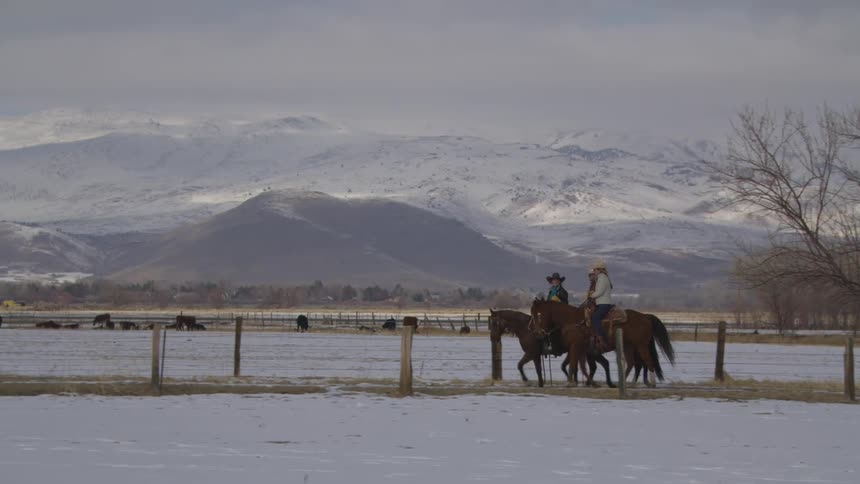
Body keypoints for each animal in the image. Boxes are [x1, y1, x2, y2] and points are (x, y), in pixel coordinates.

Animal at [530, 300, 674, 388]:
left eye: (539, 315)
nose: (536, 333)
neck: (574, 323)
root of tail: (645, 316)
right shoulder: (582, 351)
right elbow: (577, 365)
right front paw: (584, 382)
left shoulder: (579, 348)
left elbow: (578, 365)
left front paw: (578, 382)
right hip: (629, 346)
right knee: (633, 363)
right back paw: (627, 382)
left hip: (641, 346)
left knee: (647, 362)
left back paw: (649, 382)